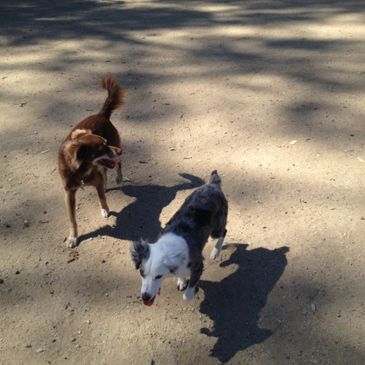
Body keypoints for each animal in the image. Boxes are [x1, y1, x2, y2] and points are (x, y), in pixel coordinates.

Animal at [57, 76, 124, 247]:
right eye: (102, 147)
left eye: (106, 143)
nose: (120, 151)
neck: (80, 171)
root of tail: (101, 114)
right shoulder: (68, 193)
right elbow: (72, 219)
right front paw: (72, 237)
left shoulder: (96, 180)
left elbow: (101, 197)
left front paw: (105, 209)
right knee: (105, 171)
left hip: (116, 148)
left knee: (118, 165)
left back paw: (119, 177)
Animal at [131, 170, 226, 304]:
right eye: (141, 272)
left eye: (158, 276)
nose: (145, 297)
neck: (168, 247)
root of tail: (212, 185)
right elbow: (180, 273)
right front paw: (181, 281)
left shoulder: (198, 266)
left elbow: (189, 290)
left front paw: (190, 292)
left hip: (217, 228)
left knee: (224, 232)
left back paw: (215, 252)